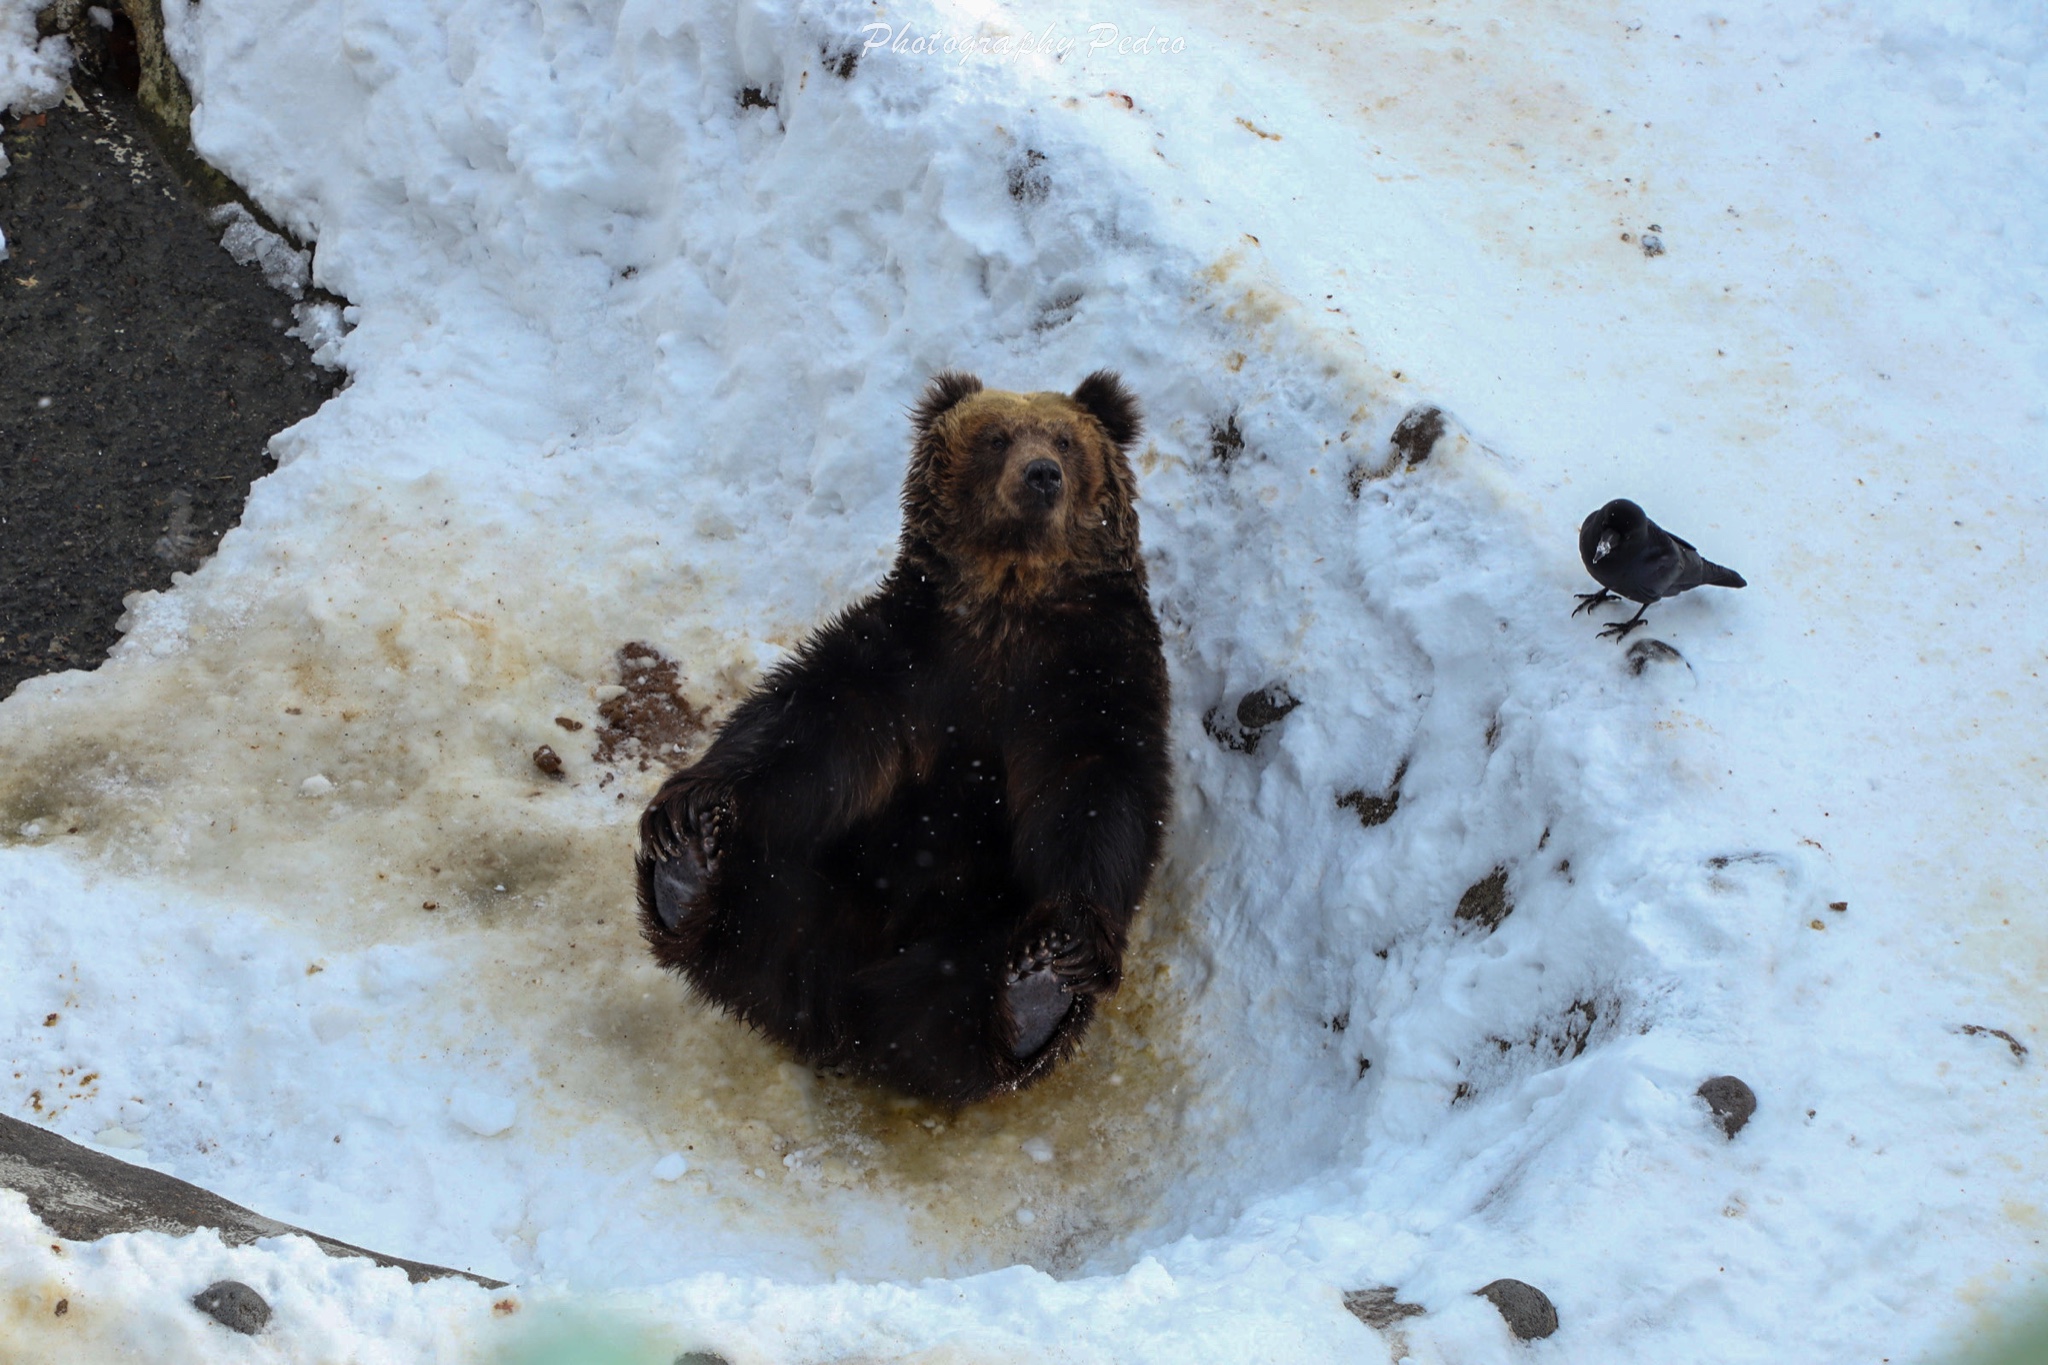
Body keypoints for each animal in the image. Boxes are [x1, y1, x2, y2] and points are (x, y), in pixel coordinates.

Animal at [638, 374, 1187, 1113]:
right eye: (997, 437)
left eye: (1066, 441)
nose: (1041, 474)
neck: (1008, 605)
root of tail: (837, 1002)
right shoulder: (906, 662)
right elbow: (808, 727)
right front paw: (690, 807)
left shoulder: (1089, 681)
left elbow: (1098, 792)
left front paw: (1065, 945)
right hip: (816, 883)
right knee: (758, 894)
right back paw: (687, 871)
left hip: (967, 932)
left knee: (953, 1008)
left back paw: (1033, 993)